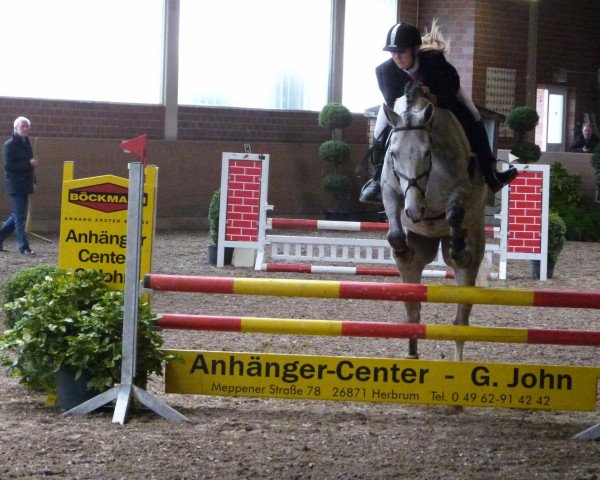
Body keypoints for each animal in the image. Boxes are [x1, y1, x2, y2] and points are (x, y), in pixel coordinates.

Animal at [382, 83, 490, 360]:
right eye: (393, 154)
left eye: (426, 152)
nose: (414, 211)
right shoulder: (389, 189)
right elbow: (394, 232)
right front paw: (402, 249)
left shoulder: (461, 191)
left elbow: (453, 213)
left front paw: (459, 251)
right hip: (416, 259)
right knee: (413, 313)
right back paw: (412, 355)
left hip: (472, 250)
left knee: (460, 321)